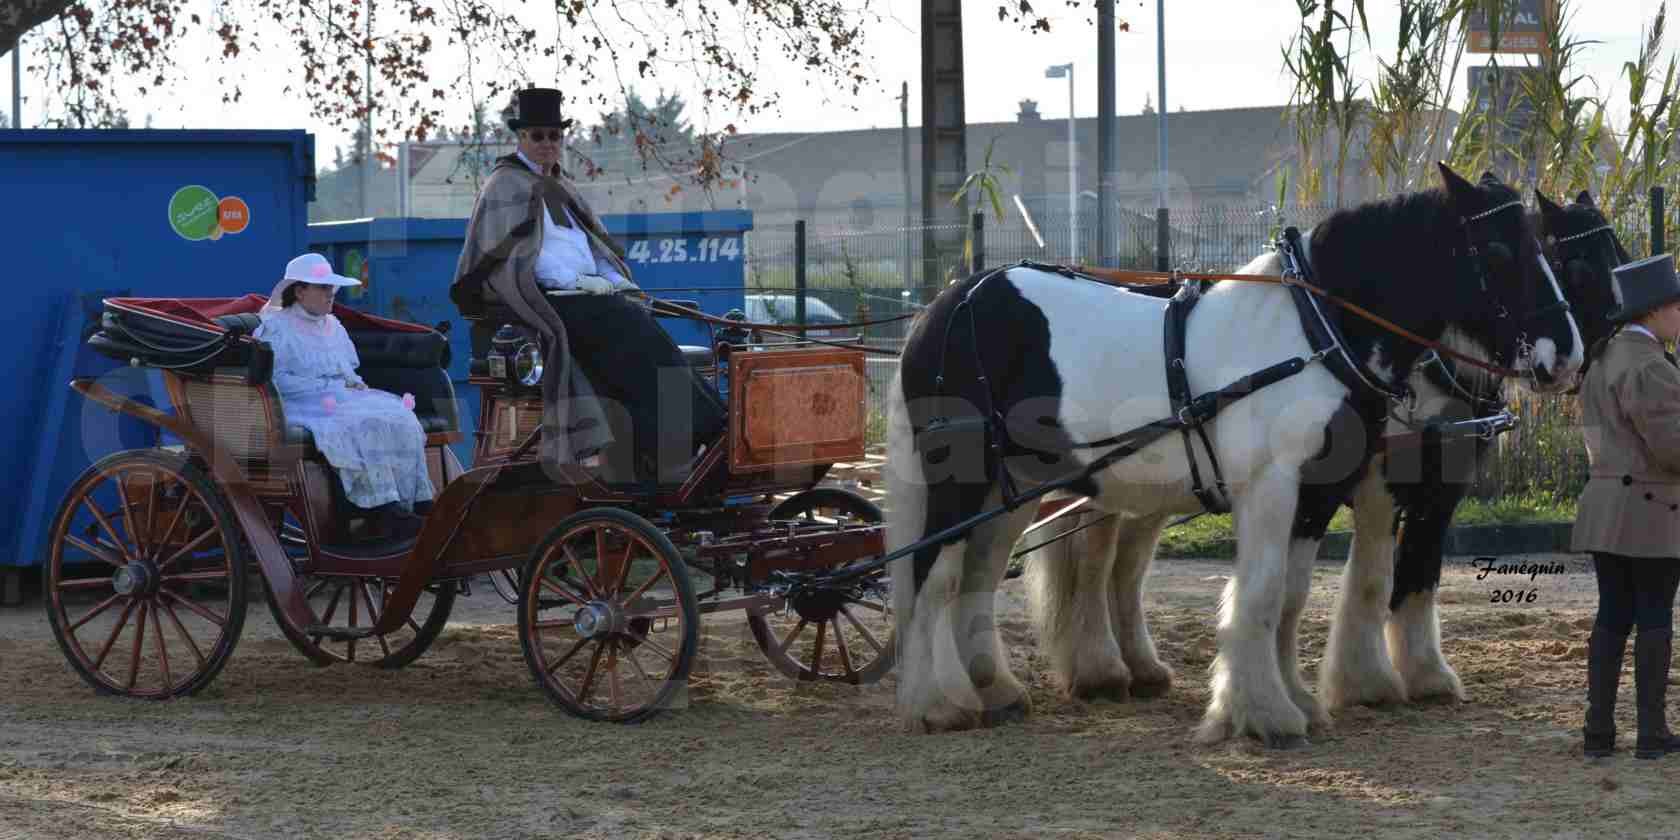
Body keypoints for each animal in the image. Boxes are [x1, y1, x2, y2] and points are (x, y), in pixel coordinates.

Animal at [887, 163, 1579, 742]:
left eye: (1547, 248)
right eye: (1497, 249)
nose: (1565, 354)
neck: (1315, 331)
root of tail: (944, 307)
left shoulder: (1318, 493)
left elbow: (1292, 598)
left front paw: (1298, 700)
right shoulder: (1271, 486)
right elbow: (1263, 592)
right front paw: (1261, 713)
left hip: (1011, 488)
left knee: (978, 576)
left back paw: (994, 690)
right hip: (958, 479)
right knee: (930, 573)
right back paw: (936, 704)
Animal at [1317, 190, 1619, 708]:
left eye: (1617, 252)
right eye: (1578, 265)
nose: (1581, 355)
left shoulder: (1444, 489)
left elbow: (1419, 571)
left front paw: (1425, 674)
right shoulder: (1383, 484)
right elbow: (1375, 578)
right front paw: (1366, 680)